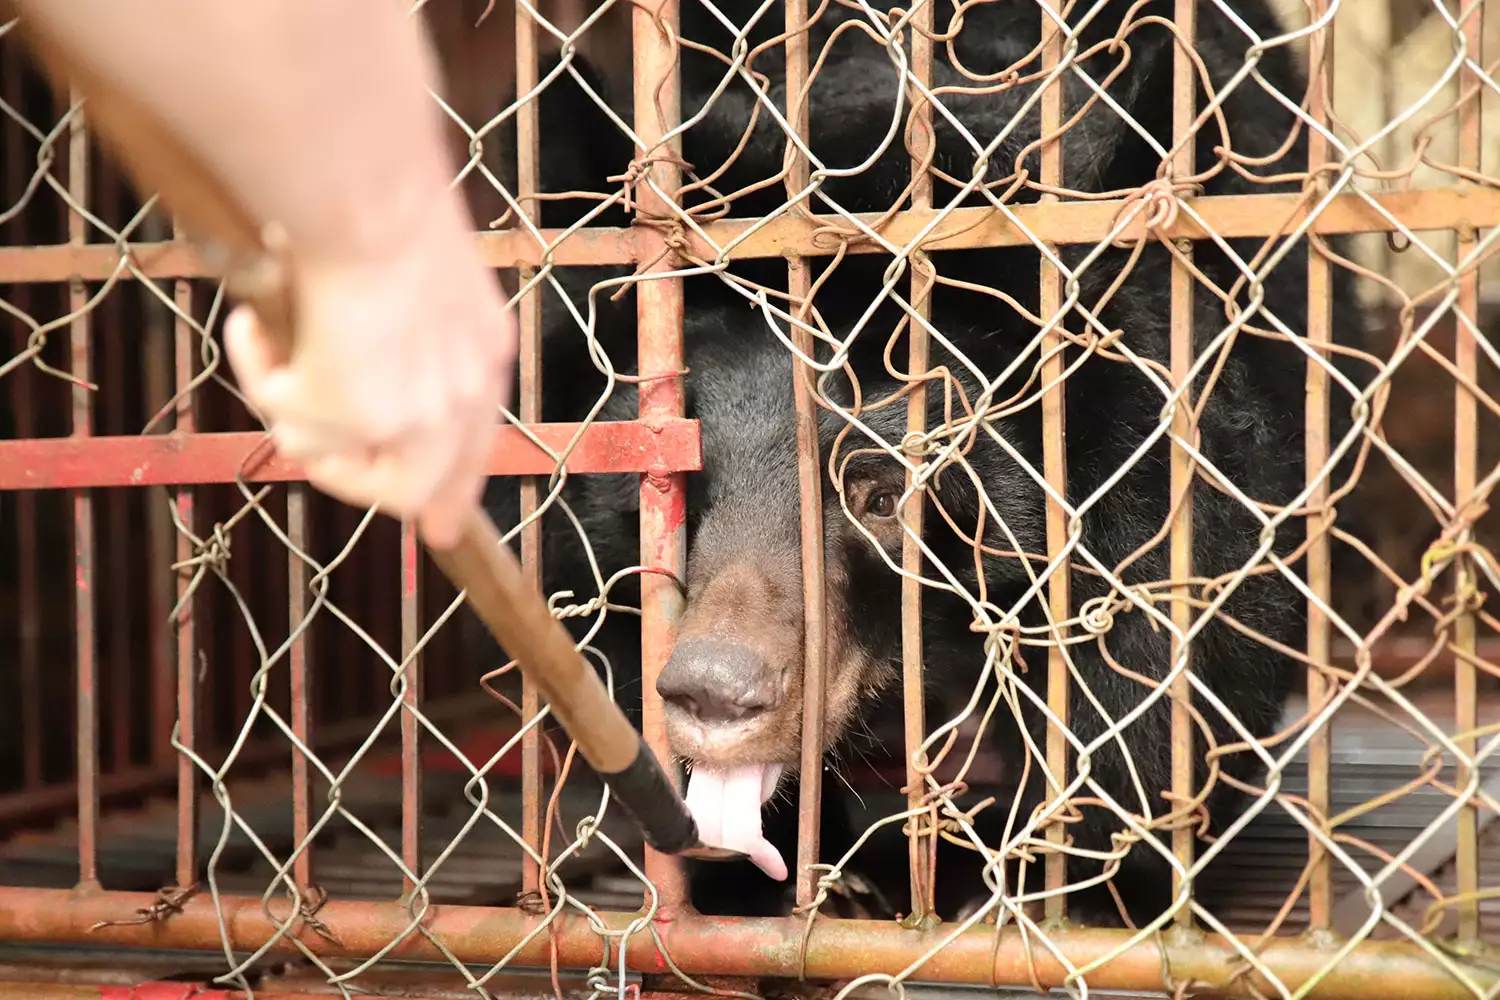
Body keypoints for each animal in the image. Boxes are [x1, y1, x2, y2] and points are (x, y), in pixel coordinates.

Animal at [480, 0, 1374, 929]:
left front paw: (1074, 888)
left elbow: (1153, 679)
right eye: (682, 491)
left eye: (882, 497)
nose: (712, 695)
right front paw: (775, 884)